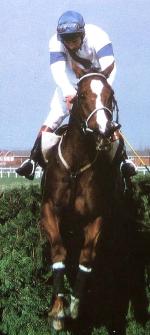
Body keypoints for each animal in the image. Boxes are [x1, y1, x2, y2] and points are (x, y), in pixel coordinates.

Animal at [39, 71, 124, 330]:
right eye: (83, 94)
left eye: (110, 94)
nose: (106, 129)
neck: (77, 164)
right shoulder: (49, 210)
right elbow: (59, 252)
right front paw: (57, 310)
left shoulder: (97, 216)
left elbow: (86, 258)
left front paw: (75, 303)